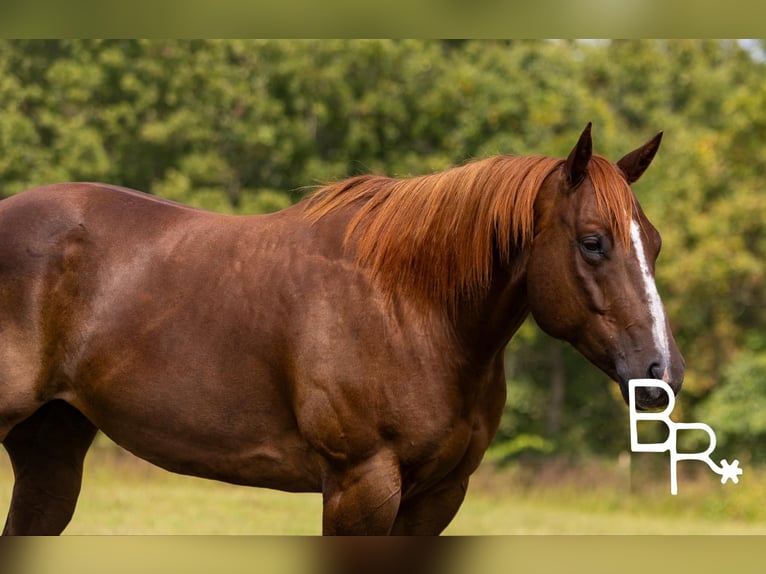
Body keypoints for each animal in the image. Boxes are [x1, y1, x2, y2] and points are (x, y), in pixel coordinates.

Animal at [0, 124, 683, 535]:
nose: (662, 373)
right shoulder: (361, 485)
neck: (409, 307)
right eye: (592, 242)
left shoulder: (438, 496)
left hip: (50, 449)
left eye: (652, 241)